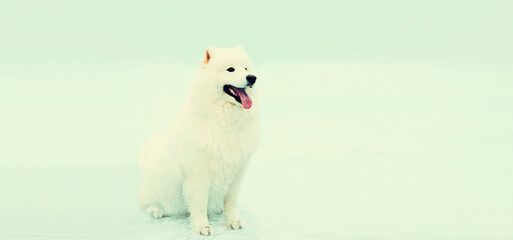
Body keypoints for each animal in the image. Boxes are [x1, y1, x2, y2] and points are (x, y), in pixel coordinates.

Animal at [138, 46, 260, 235]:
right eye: (230, 69)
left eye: (246, 68)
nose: (252, 78)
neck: (224, 120)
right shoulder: (199, 173)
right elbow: (200, 204)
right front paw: (203, 227)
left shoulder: (237, 173)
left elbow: (231, 202)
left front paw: (233, 221)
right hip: (160, 184)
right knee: (147, 202)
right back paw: (156, 209)